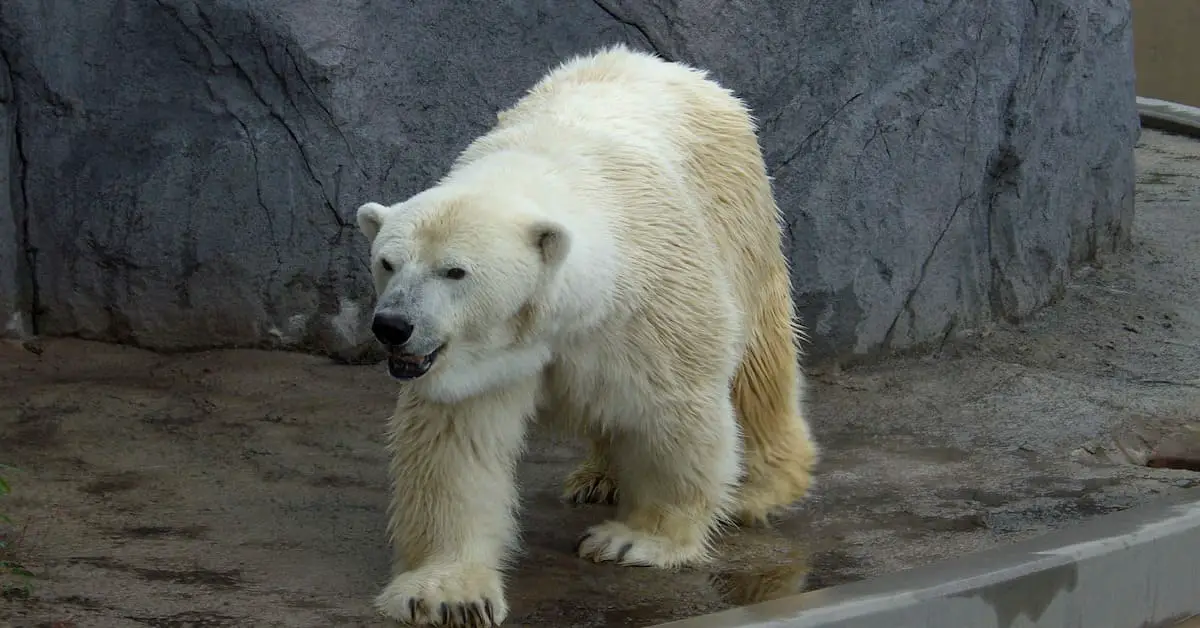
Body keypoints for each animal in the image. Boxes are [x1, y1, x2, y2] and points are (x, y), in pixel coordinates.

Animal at [355, 44, 820, 624]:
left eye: (454, 271)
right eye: (387, 263)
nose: (393, 326)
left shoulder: (653, 302)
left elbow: (675, 411)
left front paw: (637, 541)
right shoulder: (478, 361)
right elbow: (456, 446)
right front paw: (445, 593)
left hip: (739, 217)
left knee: (758, 369)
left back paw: (759, 487)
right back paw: (598, 478)